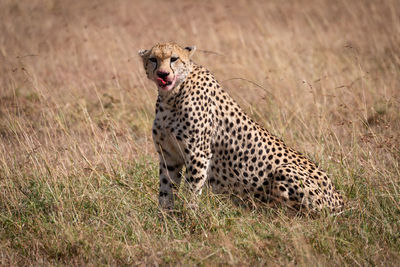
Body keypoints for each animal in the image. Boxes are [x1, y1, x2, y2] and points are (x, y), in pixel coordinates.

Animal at [138, 42, 344, 214]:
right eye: (153, 59)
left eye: (174, 59)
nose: (163, 74)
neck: (172, 96)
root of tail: (340, 200)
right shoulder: (169, 155)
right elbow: (166, 189)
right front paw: (165, 217)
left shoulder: (198, 155)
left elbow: (192, 190)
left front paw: (188, 216)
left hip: (285, 171)